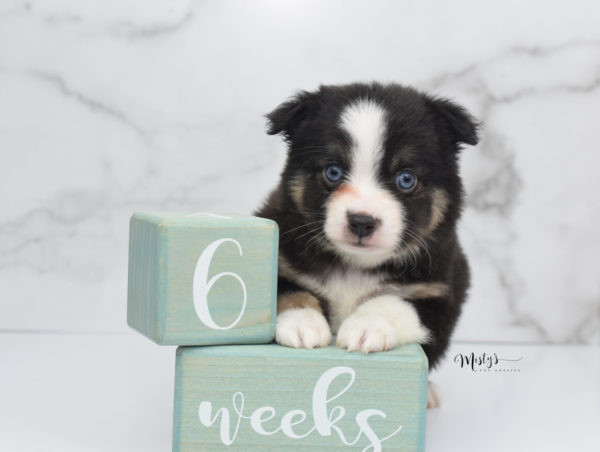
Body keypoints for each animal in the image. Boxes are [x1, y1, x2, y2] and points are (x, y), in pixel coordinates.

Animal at [255, 82, 480, 384]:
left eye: (406, 179)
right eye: (333, 171)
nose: (361, 222)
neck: (356, 266)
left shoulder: (443, 290)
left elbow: (396, 301)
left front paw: (366, 327)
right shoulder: (282, 258)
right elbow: (287, 289)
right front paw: (302, 323)